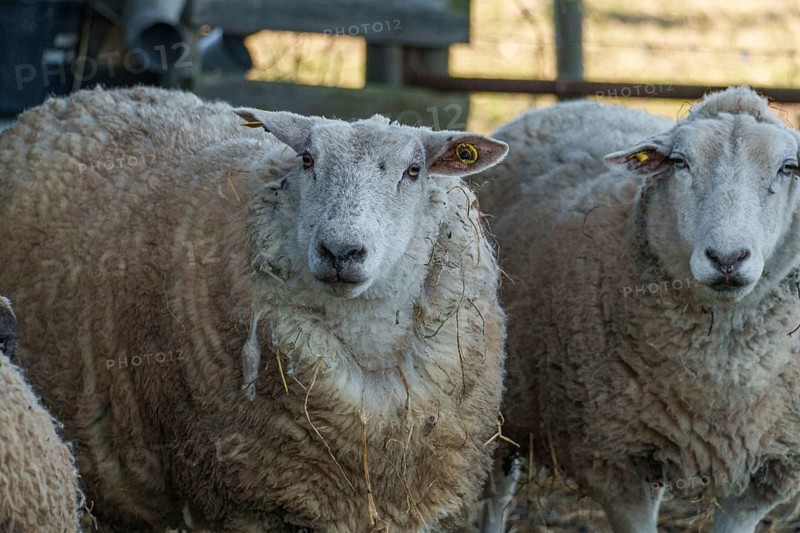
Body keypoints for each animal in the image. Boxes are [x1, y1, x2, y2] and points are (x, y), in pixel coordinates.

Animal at [479, 86, 800, 533]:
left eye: (787, 167)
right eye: (680, 162)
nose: (727, 258)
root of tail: (563, 105)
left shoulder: (764, 473)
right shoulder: (618, 464)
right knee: (496, 492)